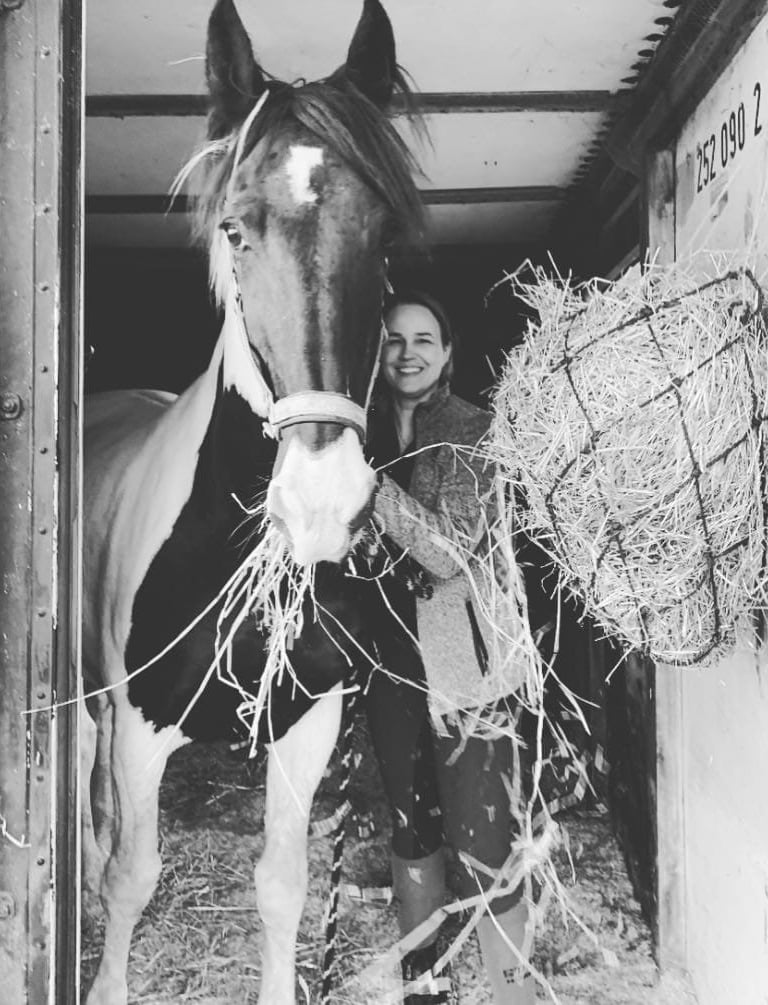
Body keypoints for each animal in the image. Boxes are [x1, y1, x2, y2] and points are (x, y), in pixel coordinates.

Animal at [80, 2, 423, 1002]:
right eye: (235, 230)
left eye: (386, 239)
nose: (323, 502)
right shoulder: (140, 727)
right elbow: (133, 875)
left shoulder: (307, 726)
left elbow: (284, 884)